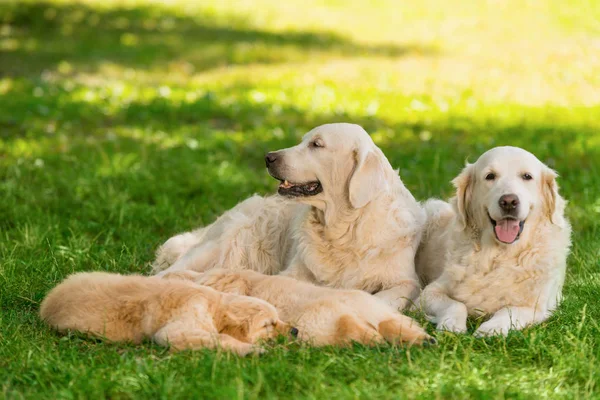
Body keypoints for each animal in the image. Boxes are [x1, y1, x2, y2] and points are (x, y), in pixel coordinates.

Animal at [38, 272, 292, 356]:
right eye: (268, 324)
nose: (296, 331)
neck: (214, 305)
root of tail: (46, 304)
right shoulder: (180, 326)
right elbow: (219, 337)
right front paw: (253, 350)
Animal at [155, 123, 426, 310]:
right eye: (303, 140)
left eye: (316, 144)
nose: (268, 157)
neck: (343, 229)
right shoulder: (293, 273)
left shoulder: (406, 282)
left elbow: (386, 297)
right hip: (224, 241)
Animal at [418, 145, 572, 336]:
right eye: (490, 176)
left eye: (527, 176)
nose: (509, 201)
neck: (499, 254)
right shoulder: (429, 292)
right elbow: (456, 304)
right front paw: (451, 324)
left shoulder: (541, 306)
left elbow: (509, 310)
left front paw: (491, 329)